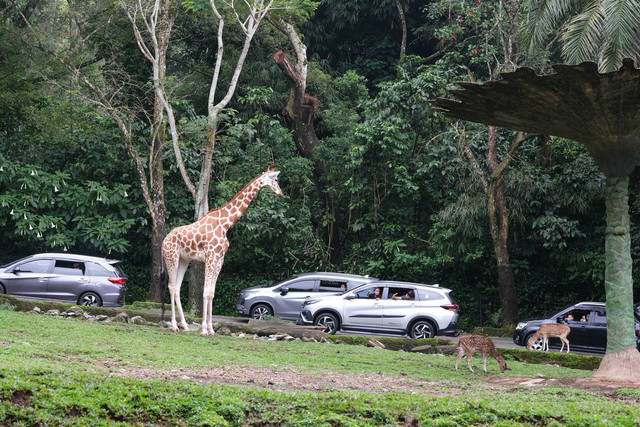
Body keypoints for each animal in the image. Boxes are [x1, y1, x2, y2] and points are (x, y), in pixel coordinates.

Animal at [162, 168, 282, 338]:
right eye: (276, 180)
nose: (281, 193)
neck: (225, 224)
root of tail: (164, 241)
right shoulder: (210, 256)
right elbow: (205, 292)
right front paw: (204, 330)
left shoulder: (220, 259)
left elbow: (211, 293)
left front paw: (211, 329)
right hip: (171, 257)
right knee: (172, 286)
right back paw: (174, 326)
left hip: (184, 260)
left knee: (177, 287)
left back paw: (184, 326)